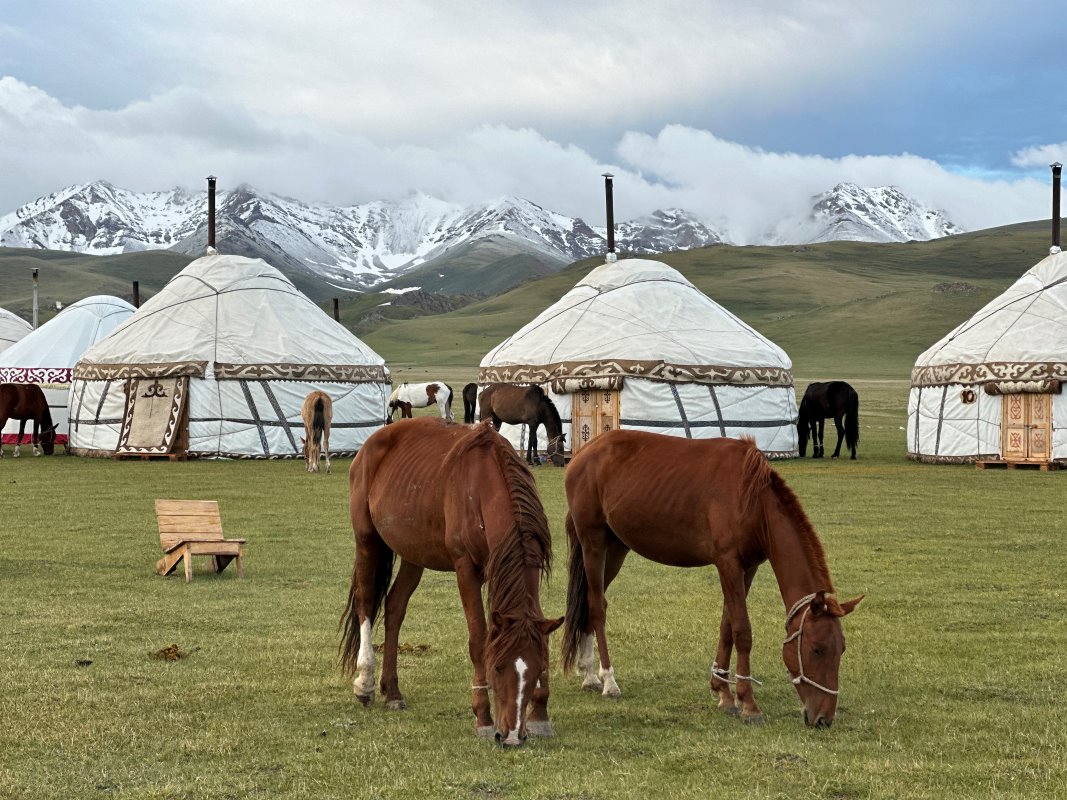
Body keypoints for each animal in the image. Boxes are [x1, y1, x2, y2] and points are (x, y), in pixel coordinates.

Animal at [341, 417, 563, 747]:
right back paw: (365, 683)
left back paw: (392, 691)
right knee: (366, 602)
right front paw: (483, 717)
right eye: (497, 668)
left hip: (414, 552)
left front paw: (540, 715)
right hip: (367, 540)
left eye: (538, 669)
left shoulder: (528, 566)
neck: (484, 485)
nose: (511, 735)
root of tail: (375, 439)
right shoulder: (465, 568)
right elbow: (478, 639)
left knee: (394, 608)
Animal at [561, 430, 862, 728]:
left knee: (590, 603)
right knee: (597, 607)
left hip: (616, 548)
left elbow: (727, 626)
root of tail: (584, 453)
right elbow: (742, 631)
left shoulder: (747, 568)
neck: (753, 501)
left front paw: (724, 692)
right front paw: (749, 704)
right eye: (817, 649)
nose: (824, 719)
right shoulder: (727, 564)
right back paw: (608, 680)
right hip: (594, 543)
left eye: (842, 649)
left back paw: (589, 674)